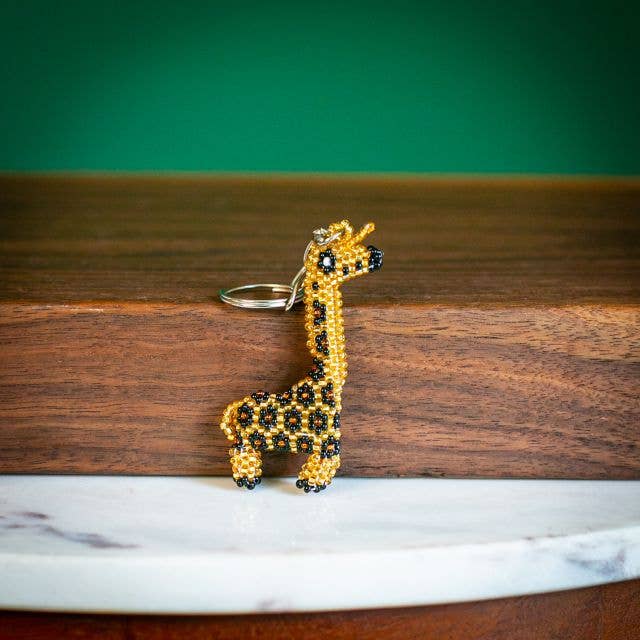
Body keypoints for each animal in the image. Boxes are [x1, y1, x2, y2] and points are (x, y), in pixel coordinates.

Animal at [219, 219, 383, 492]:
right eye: (334, 257)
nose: (375, 255)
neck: (326, 376)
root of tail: (232, 409)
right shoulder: (328, 442)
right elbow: (325, 467)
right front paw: (310, 483)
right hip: (246, 442)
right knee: (240, 458)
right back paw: (248, 481)